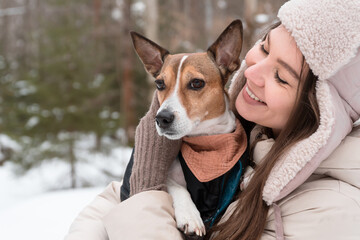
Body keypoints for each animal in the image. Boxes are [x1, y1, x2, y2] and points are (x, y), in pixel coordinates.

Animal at [131, 20, 243, 236]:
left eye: (196, 83)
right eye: (159, 84)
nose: (161, 118)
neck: (204, 141)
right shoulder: (167, 175)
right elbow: (175, 186)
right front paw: (190, 216)